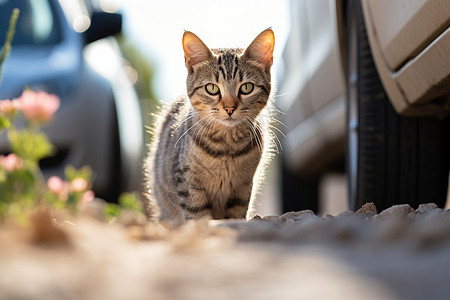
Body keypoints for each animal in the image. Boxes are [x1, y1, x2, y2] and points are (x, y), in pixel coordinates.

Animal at [146, 28, 276, 225]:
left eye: (246, 87)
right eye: (212, 88)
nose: (229, 108)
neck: (226, 148)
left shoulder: (244, 185)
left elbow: (236, 214)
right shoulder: (188, 182)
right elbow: (198, 215)